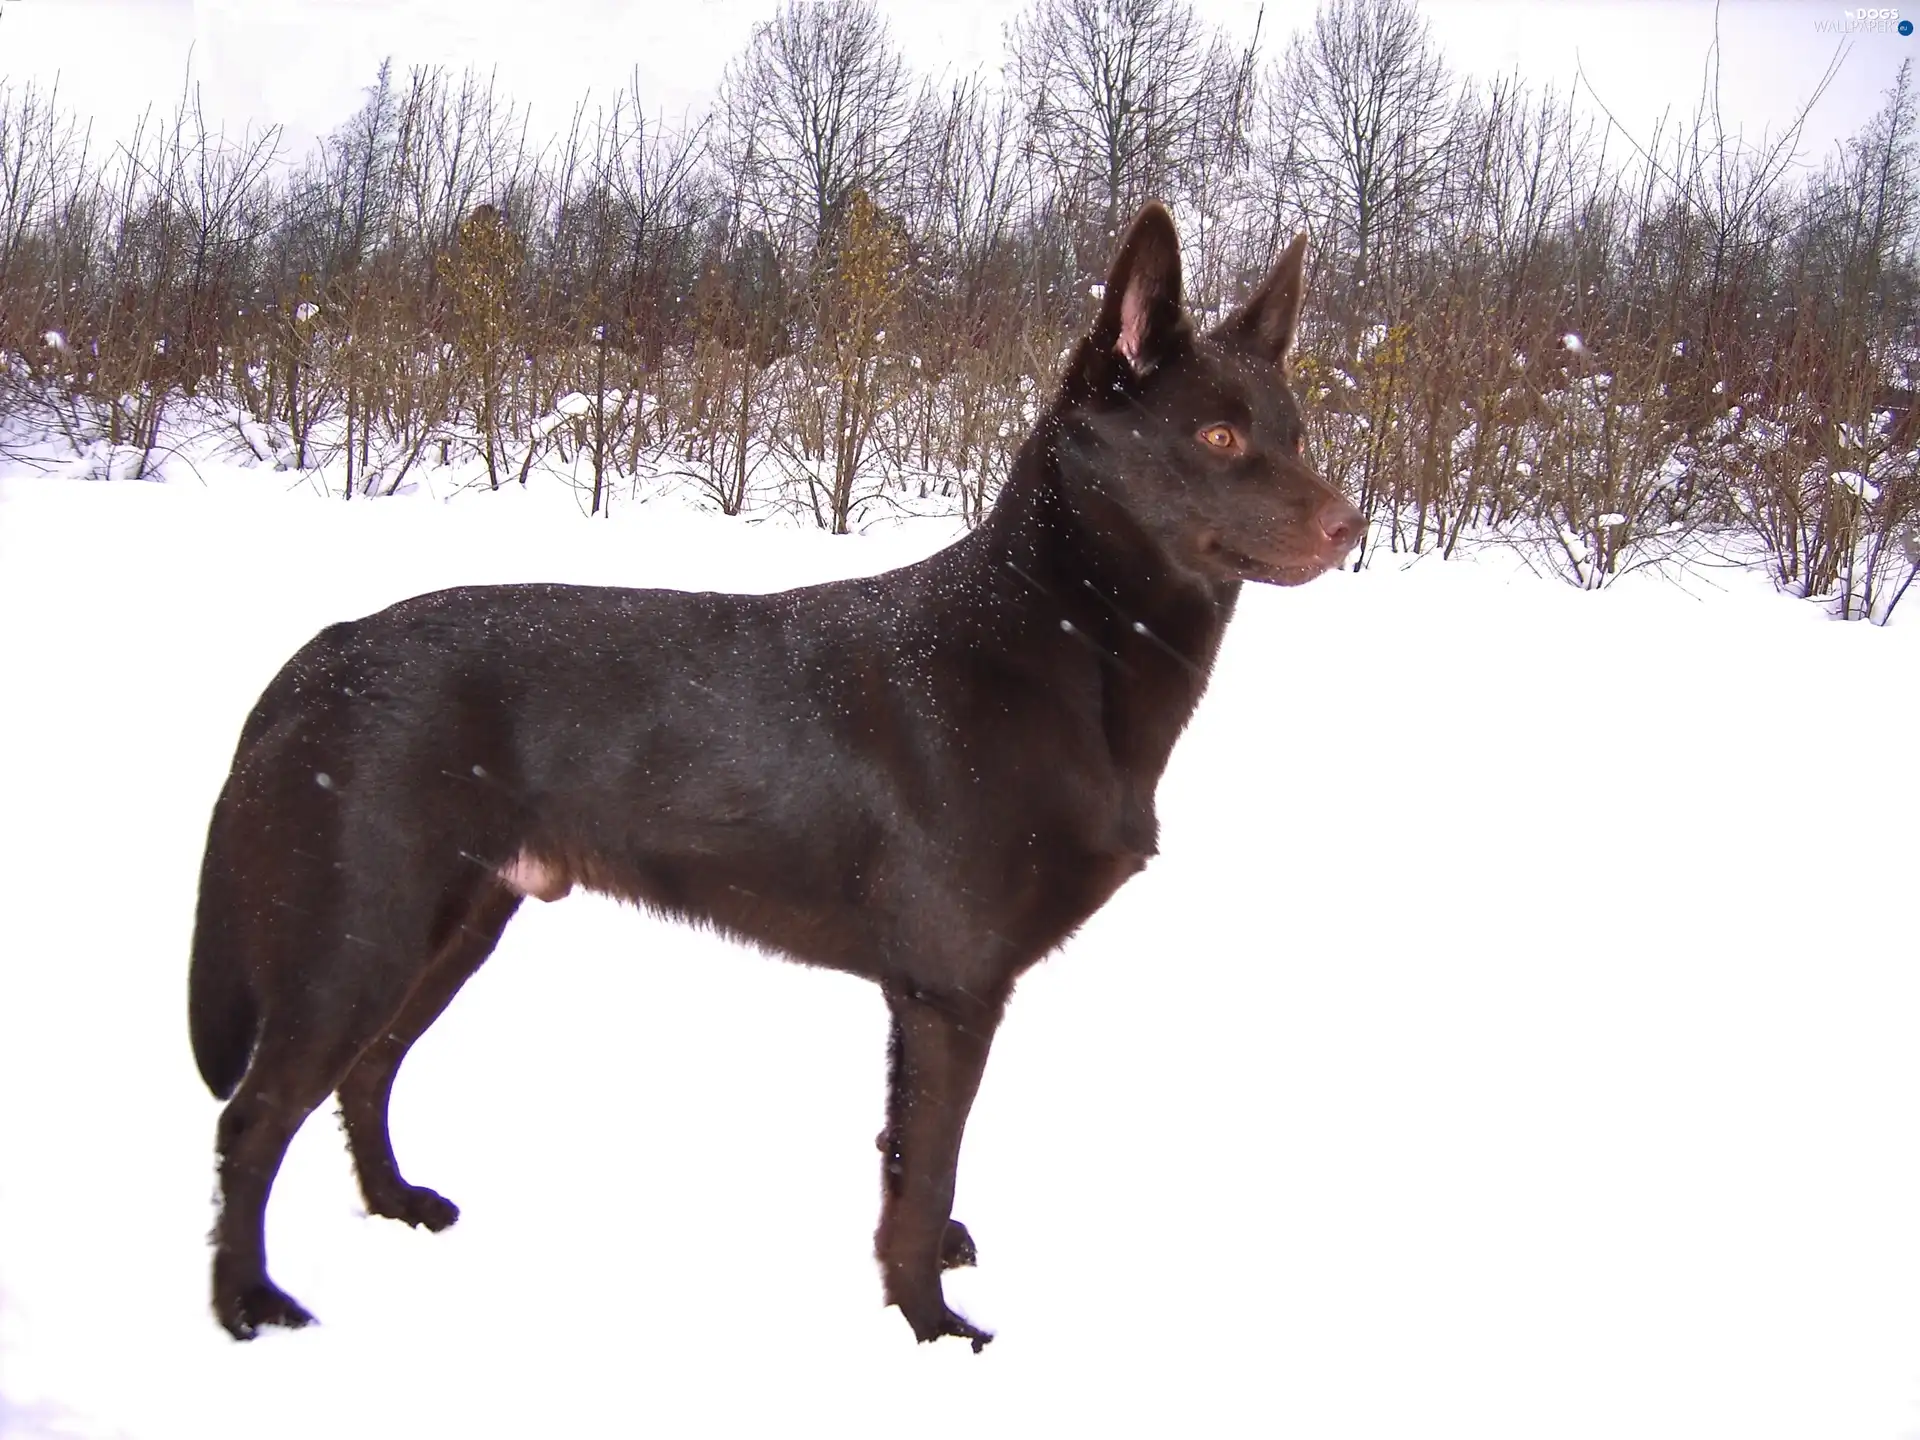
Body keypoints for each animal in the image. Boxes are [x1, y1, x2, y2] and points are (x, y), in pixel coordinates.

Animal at [191, 203, 1367, 1351]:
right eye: (1218, 436)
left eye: (1298, 437)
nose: (1352, 527)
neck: (1058, 640)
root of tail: (324, 652)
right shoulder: (950, 994)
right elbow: (925, 1170)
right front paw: (932, 1329)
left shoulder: (924, 1000)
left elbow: (905, 1157)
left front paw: (930, 1275)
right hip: (361, 931)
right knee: (255, 1115)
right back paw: (247, 1304)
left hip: (458, 921)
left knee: (366, 1070)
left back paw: (394, 1206)